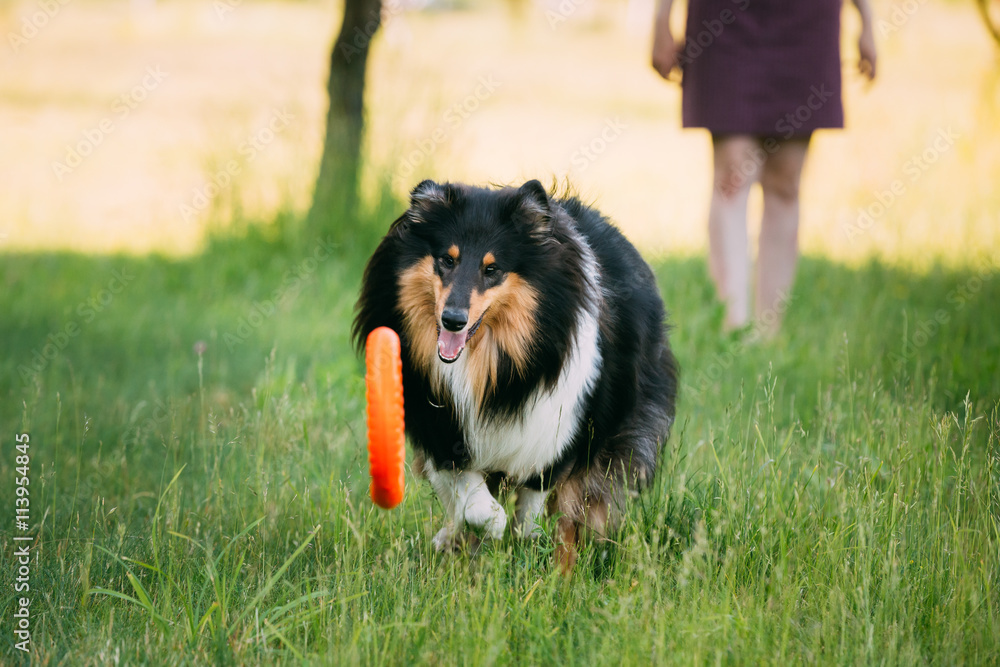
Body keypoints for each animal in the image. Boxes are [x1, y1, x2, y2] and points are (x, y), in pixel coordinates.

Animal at [354, 180, 680, 568]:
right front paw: (482, 527)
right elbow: (470, 498)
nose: (452, 320)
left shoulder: (555, 433)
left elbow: (534, 508)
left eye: (492, 269)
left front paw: (530, 545)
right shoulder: (442, 428)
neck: (488, 365)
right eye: (447, 260)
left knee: (578, 510)